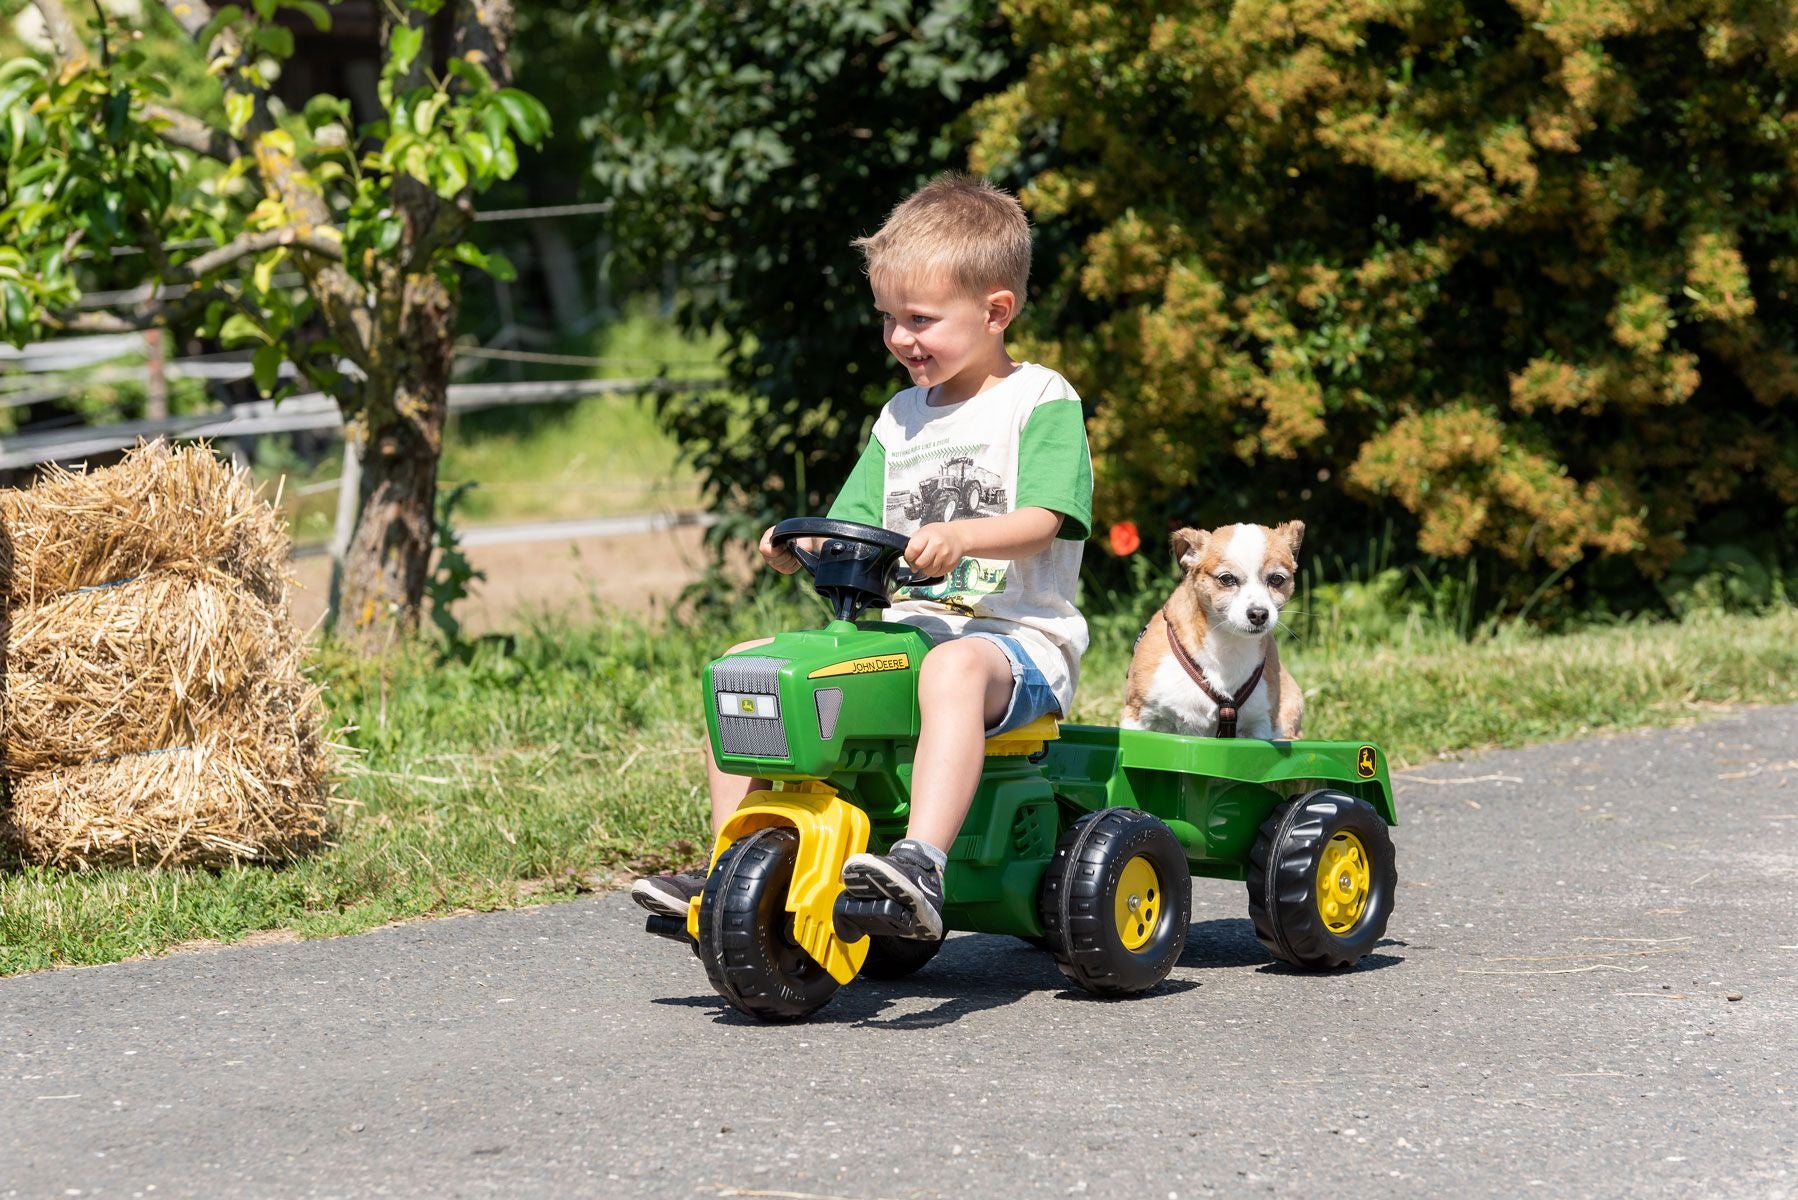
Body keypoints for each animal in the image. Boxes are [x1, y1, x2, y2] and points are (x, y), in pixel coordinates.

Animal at [1114, 521, 1301, 741]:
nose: (1258, 613)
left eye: (1277, 579)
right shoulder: (1138, 716)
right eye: (1227, 579)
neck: (1228, 646)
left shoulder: (1258, 727)